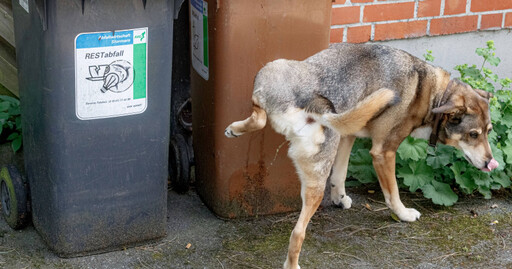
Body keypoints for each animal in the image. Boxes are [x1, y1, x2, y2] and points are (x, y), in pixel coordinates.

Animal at [224, 43, 496, 268]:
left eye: (489, 131)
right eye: (473, 134)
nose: (490, 163)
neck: (429, 91)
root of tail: (314, 102)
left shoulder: (347, 137)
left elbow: (340, 174)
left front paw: (340, 198)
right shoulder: (384, 152)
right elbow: (393, 194)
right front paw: (404, 214)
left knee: (259, 118)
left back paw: (235, 129)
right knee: (299, 232)